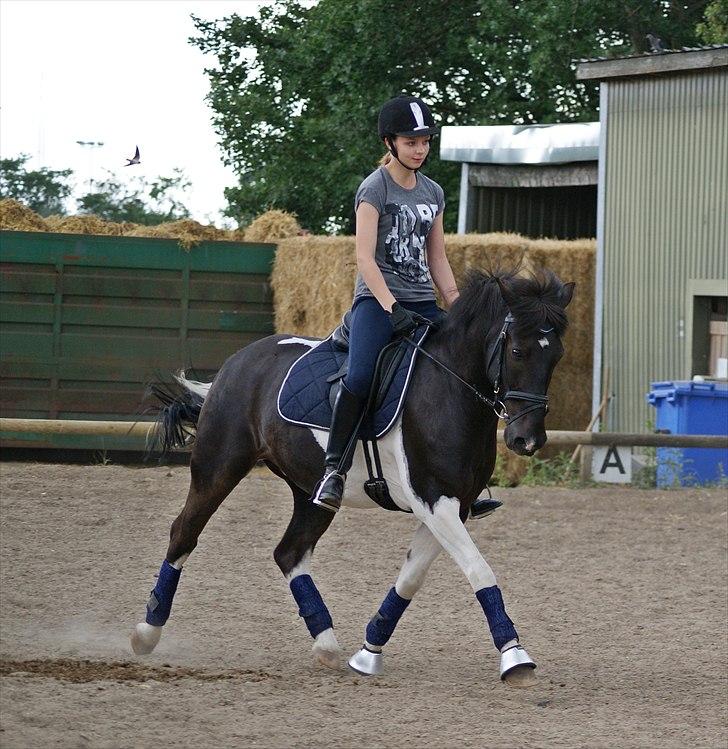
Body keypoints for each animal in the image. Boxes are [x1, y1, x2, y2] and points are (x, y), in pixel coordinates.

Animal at [131, 268, 576, 684]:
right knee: (185, 532)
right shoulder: (434, 500)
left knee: (290, 552)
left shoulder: (455, 506)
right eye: (516, 351)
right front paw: (515, 657)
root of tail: (237, 362)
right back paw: (145, 633)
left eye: (555, 356)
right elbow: (478, 569)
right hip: (219, 466)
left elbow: (411, 578)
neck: (451, 389)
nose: (527, 440)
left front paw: (368, 652)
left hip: (310, 491)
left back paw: (326, 644)